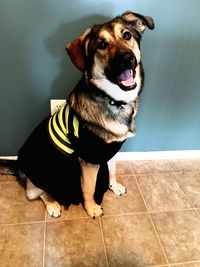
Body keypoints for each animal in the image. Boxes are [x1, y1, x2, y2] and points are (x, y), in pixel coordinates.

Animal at [0, 11, 154, 219]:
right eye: (102, 44)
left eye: (127, 35)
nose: (127, 58)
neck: (112, 99)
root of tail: (19, 167)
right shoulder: (88, 160)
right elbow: (89, 187)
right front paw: (91, 208)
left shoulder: (110, 149)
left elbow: (112, 170)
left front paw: (114, 186)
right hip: (39, 180)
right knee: (35, 192)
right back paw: (52, 204)